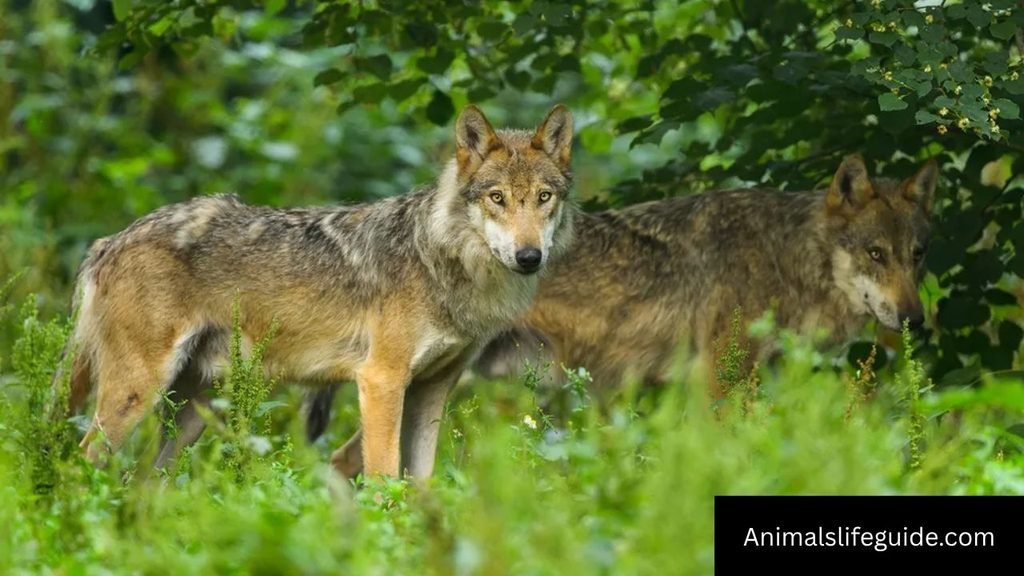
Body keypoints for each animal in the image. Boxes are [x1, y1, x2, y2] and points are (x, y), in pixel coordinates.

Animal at [58, 104, 576, 479]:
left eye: (544, 198)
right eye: (497, 198)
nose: (529, 256)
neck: (443, 260)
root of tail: (108, 241)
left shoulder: (432, 389)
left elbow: (422, 483)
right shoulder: (381, 381)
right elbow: (385, 481)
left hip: (191, 413)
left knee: (143, 481)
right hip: (137, 395)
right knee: (81, 464)